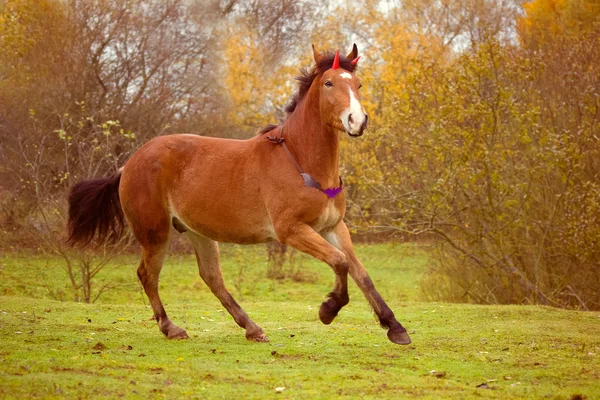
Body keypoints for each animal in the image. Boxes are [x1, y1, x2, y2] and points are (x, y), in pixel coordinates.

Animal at [67, 43, 412, 344]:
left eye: (358, 83)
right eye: (329, 83)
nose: (358, 121)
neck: (301, 161)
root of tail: (129, 163)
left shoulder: (333, 227)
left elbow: (361, 273)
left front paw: (395, 327)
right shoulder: (292, 230)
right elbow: (341, 263)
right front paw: (328, 309)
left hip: (198, 232)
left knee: (211, 278)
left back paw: (252, 328)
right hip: (156, 233)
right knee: (147, 275)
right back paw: (171, 327)